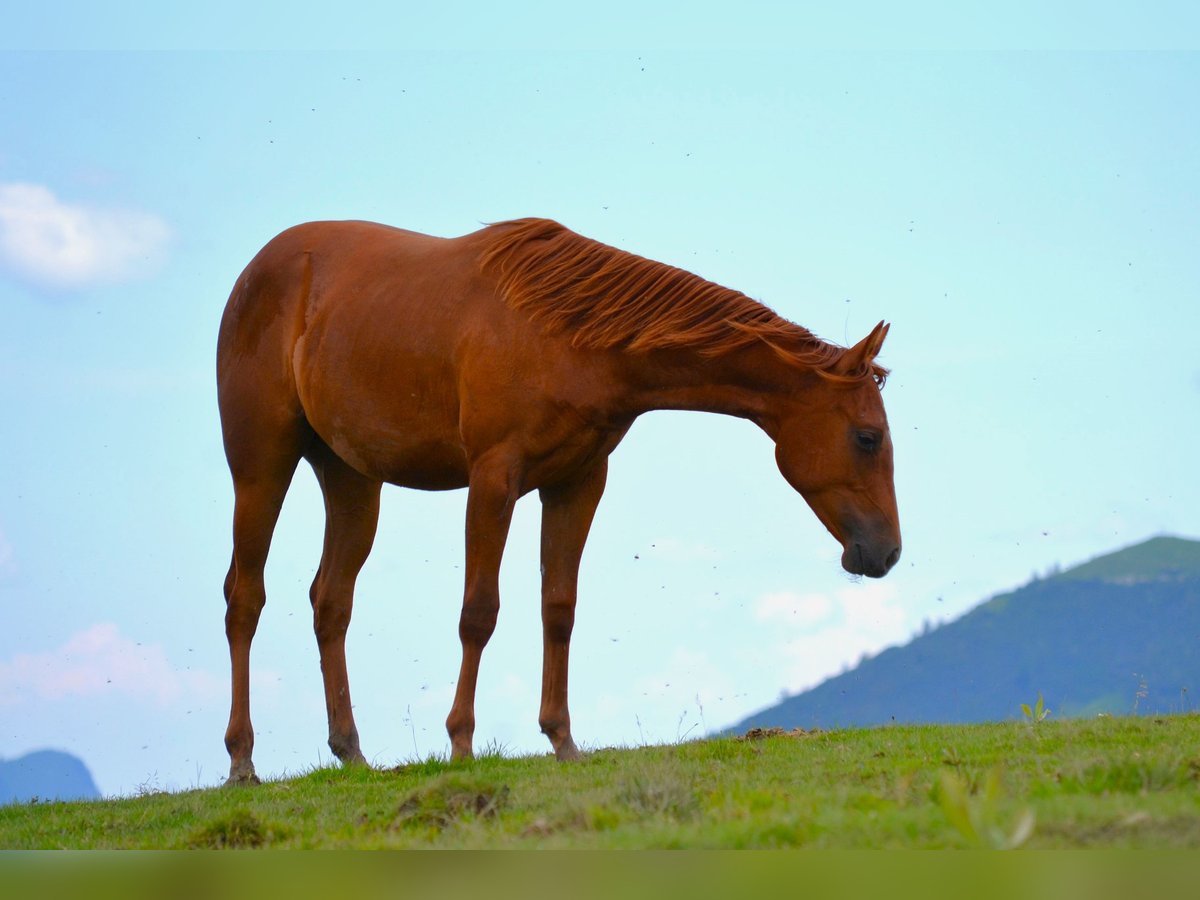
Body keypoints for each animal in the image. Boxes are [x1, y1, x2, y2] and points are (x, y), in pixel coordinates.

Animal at [216, 214, 897, 787]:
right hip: (261, 470)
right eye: (868, 437)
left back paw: (351, 752)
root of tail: (256, 272)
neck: (570, 336)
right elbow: (479, 613)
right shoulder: (494, 479)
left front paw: (562, 738)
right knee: (244, 599)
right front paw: (460, 743)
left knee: (330, 602)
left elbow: (559, 609)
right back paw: (242, 761)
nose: (886, 553)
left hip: (352, 480)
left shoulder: (577, 482)